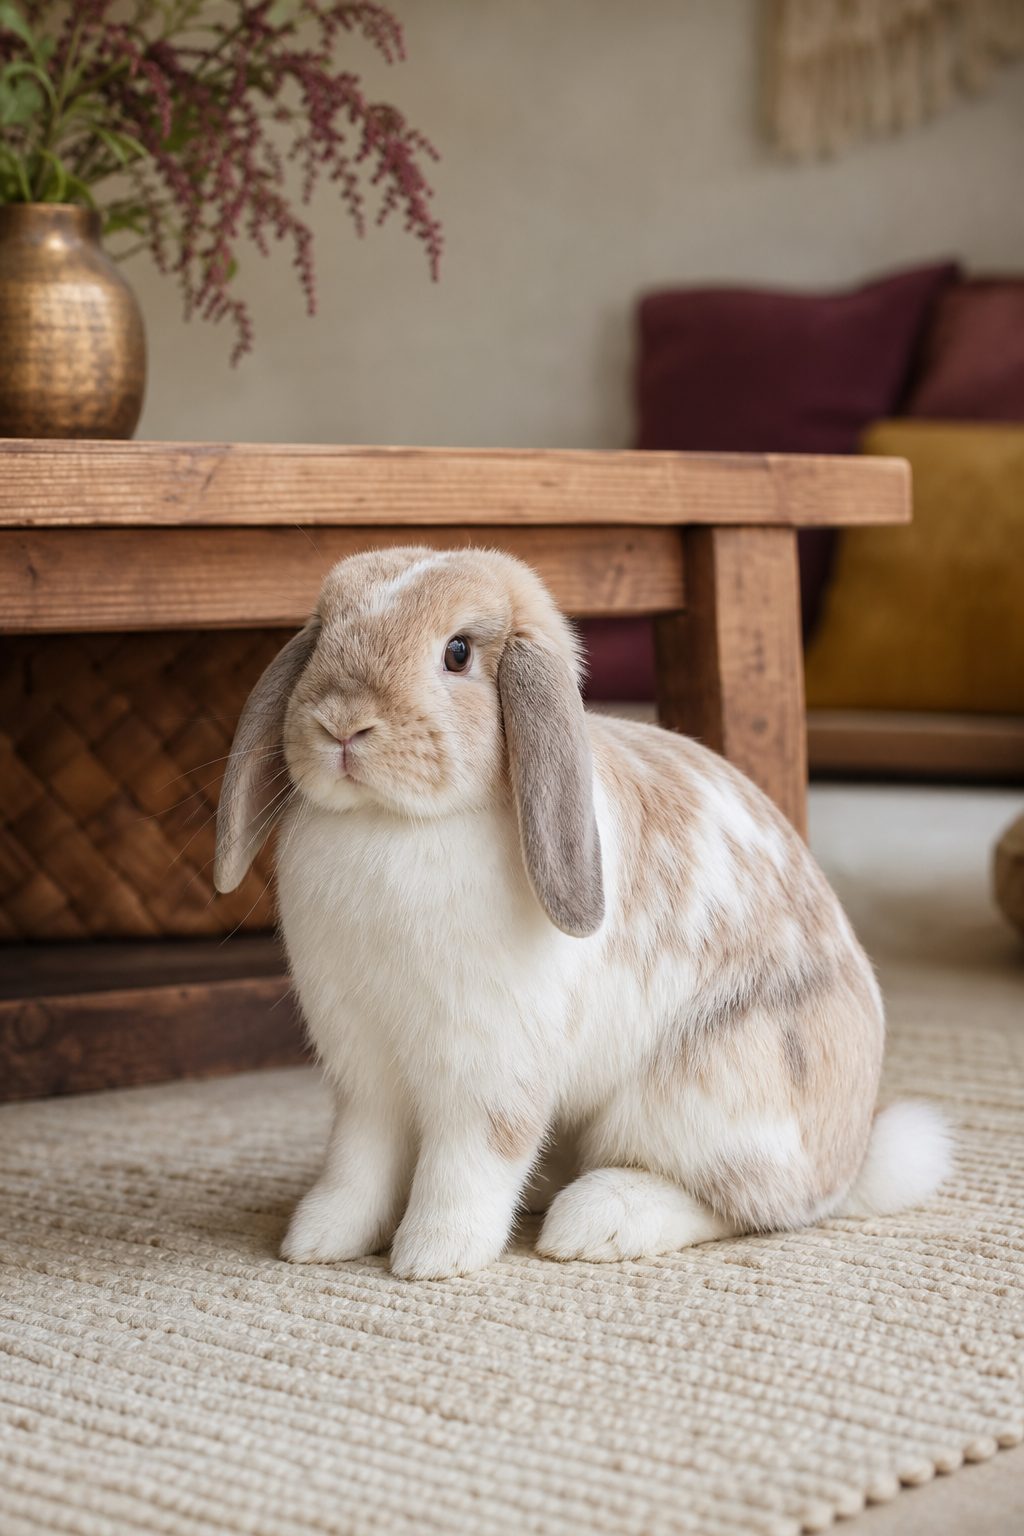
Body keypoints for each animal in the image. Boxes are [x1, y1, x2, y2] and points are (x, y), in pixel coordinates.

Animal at [215, 545, 952, 1280]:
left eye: (458, 652)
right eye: (323, 634)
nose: (341, 723)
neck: (390, 824)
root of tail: (849, 1158)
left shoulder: (488, 1071)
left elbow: (467, 1162)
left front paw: (434, 1254)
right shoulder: (363, 1069)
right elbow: (357, 1161)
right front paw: (319, 1240)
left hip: (704, 1094)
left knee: (748, 1205)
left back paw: (595, 1221)